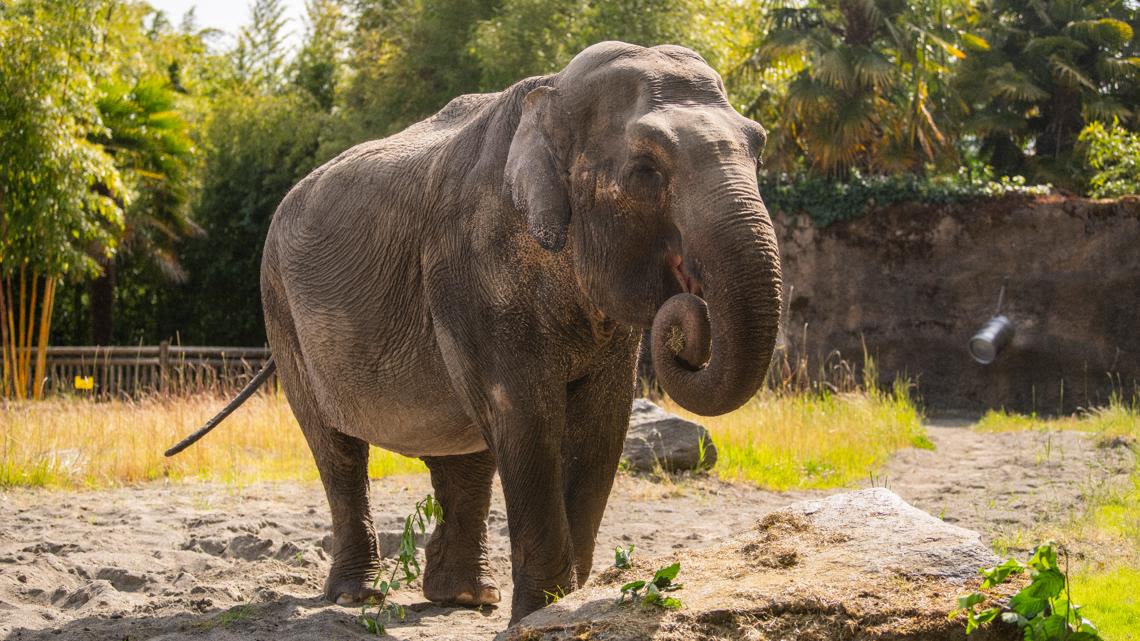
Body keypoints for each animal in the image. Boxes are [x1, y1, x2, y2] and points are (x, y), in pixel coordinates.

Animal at [168, 38, 784, 620]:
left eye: (758, 147)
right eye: (646, 171)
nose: (687, 310)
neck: (552, 93)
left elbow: (602, 426)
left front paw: (564, 608)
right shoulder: (469, 272)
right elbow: (526, 416)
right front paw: (543, 612)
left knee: (464, 451)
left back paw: (464, 598)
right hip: (282, 311)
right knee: (338, 450)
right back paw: (357, 596)